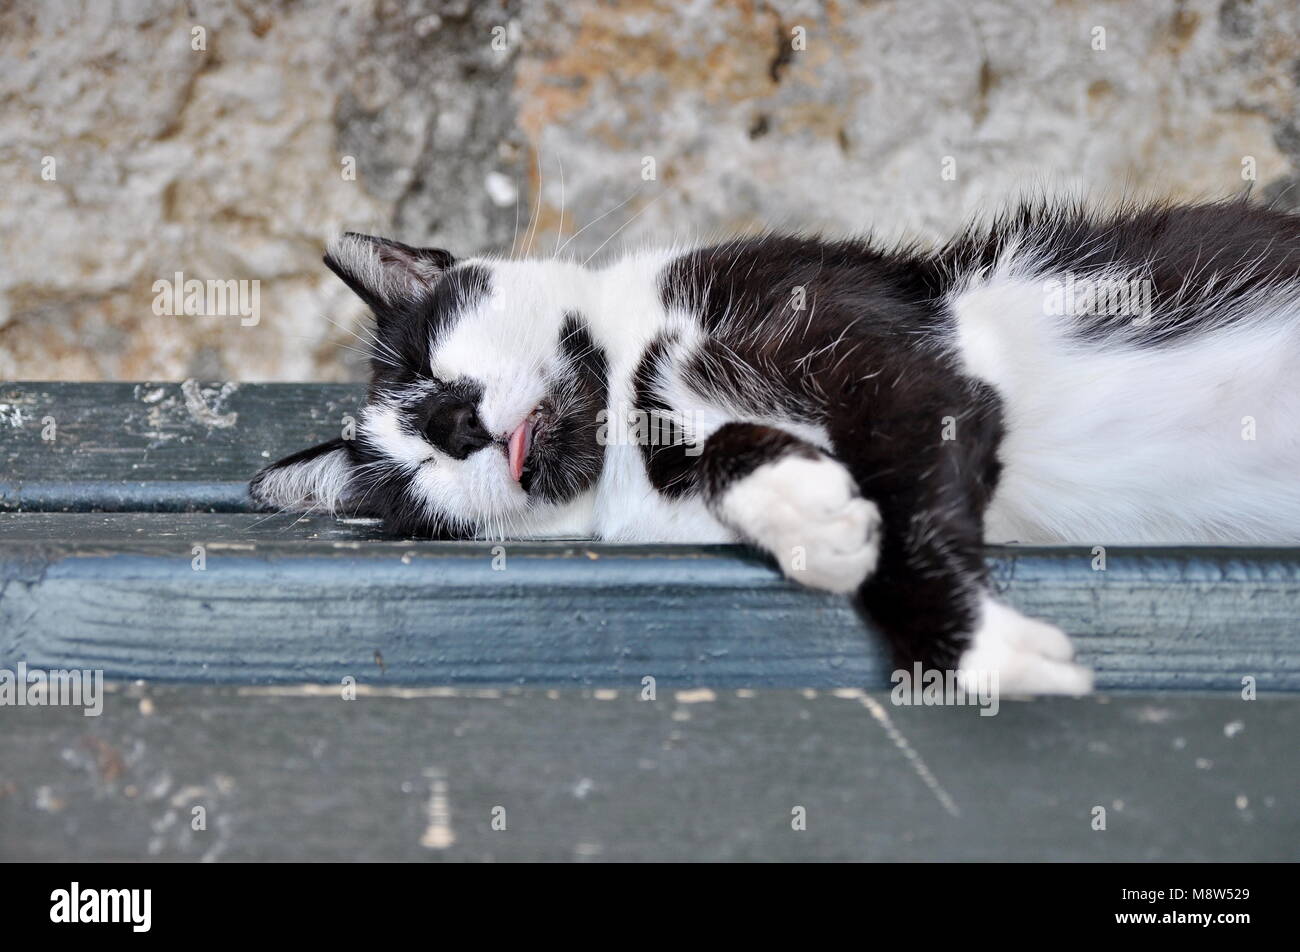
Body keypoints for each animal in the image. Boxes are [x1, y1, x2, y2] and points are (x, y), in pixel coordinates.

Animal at [248, 197, 1300, 697]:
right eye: (410, 469)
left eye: (430, 363)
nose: (451, 425)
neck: (629, 403)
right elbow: (720, 462)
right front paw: (806, 510)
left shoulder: (879, 339)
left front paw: (975, 654)